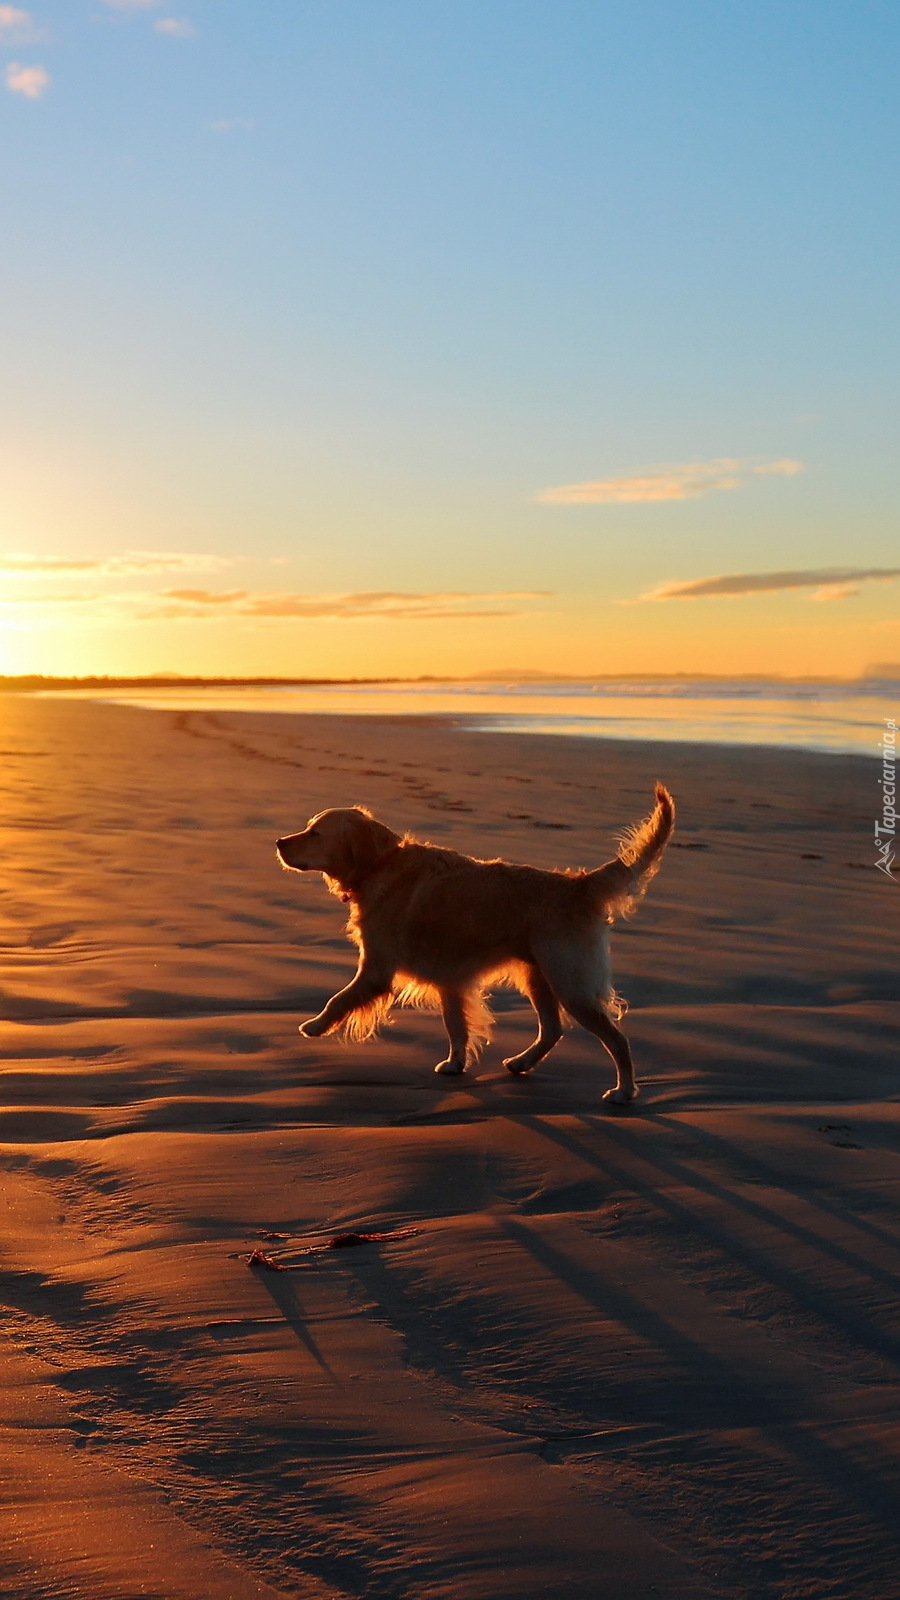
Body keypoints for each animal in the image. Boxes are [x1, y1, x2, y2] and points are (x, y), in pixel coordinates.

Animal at [275, 784, 672, 1107]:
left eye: (315, 833)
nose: (279, 842)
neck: (379, 865)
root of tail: (580, 885)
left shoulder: (376, 968)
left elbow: (339, 998)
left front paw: (315, 1025)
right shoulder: (450, 980)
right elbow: (456, 1026)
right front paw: (455, 1063)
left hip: (570, 982)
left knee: (616, 1039)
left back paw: (624, 1091)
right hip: (538, 976)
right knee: (552, 1029)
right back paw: (522, 1062)